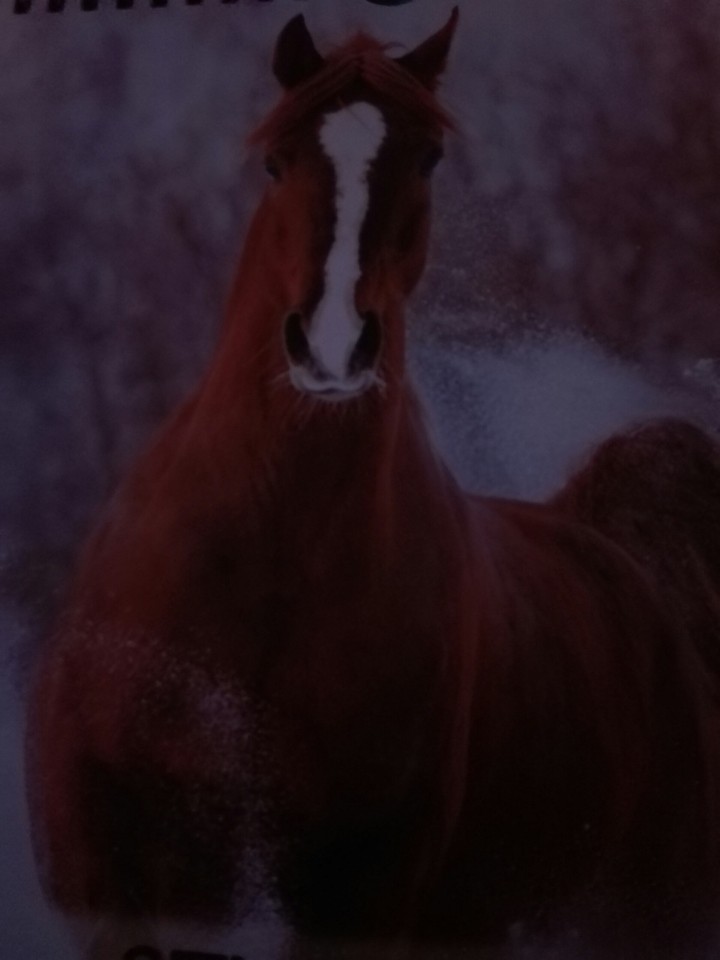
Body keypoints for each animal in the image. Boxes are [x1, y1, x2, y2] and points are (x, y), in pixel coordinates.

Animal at [25, 9, 720, 959]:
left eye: (427, 157)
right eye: (277, 160)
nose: (329, 347)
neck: (260, 575)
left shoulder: (359, 892)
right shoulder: (122, 882)